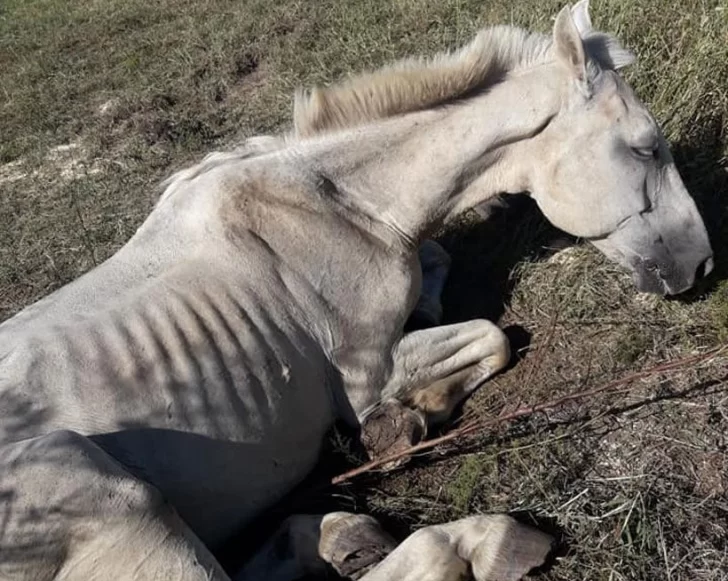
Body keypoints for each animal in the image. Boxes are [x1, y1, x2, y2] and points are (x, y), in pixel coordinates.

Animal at [0, 2, 712, 576]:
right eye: (644, 148)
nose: (703, 266)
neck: (338, 203)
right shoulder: (367, 373)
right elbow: (492, 337)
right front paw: (399, 420)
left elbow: (438, 266)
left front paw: (413, 404)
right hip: (115, 501)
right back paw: (486, 541)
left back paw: (347, 535)